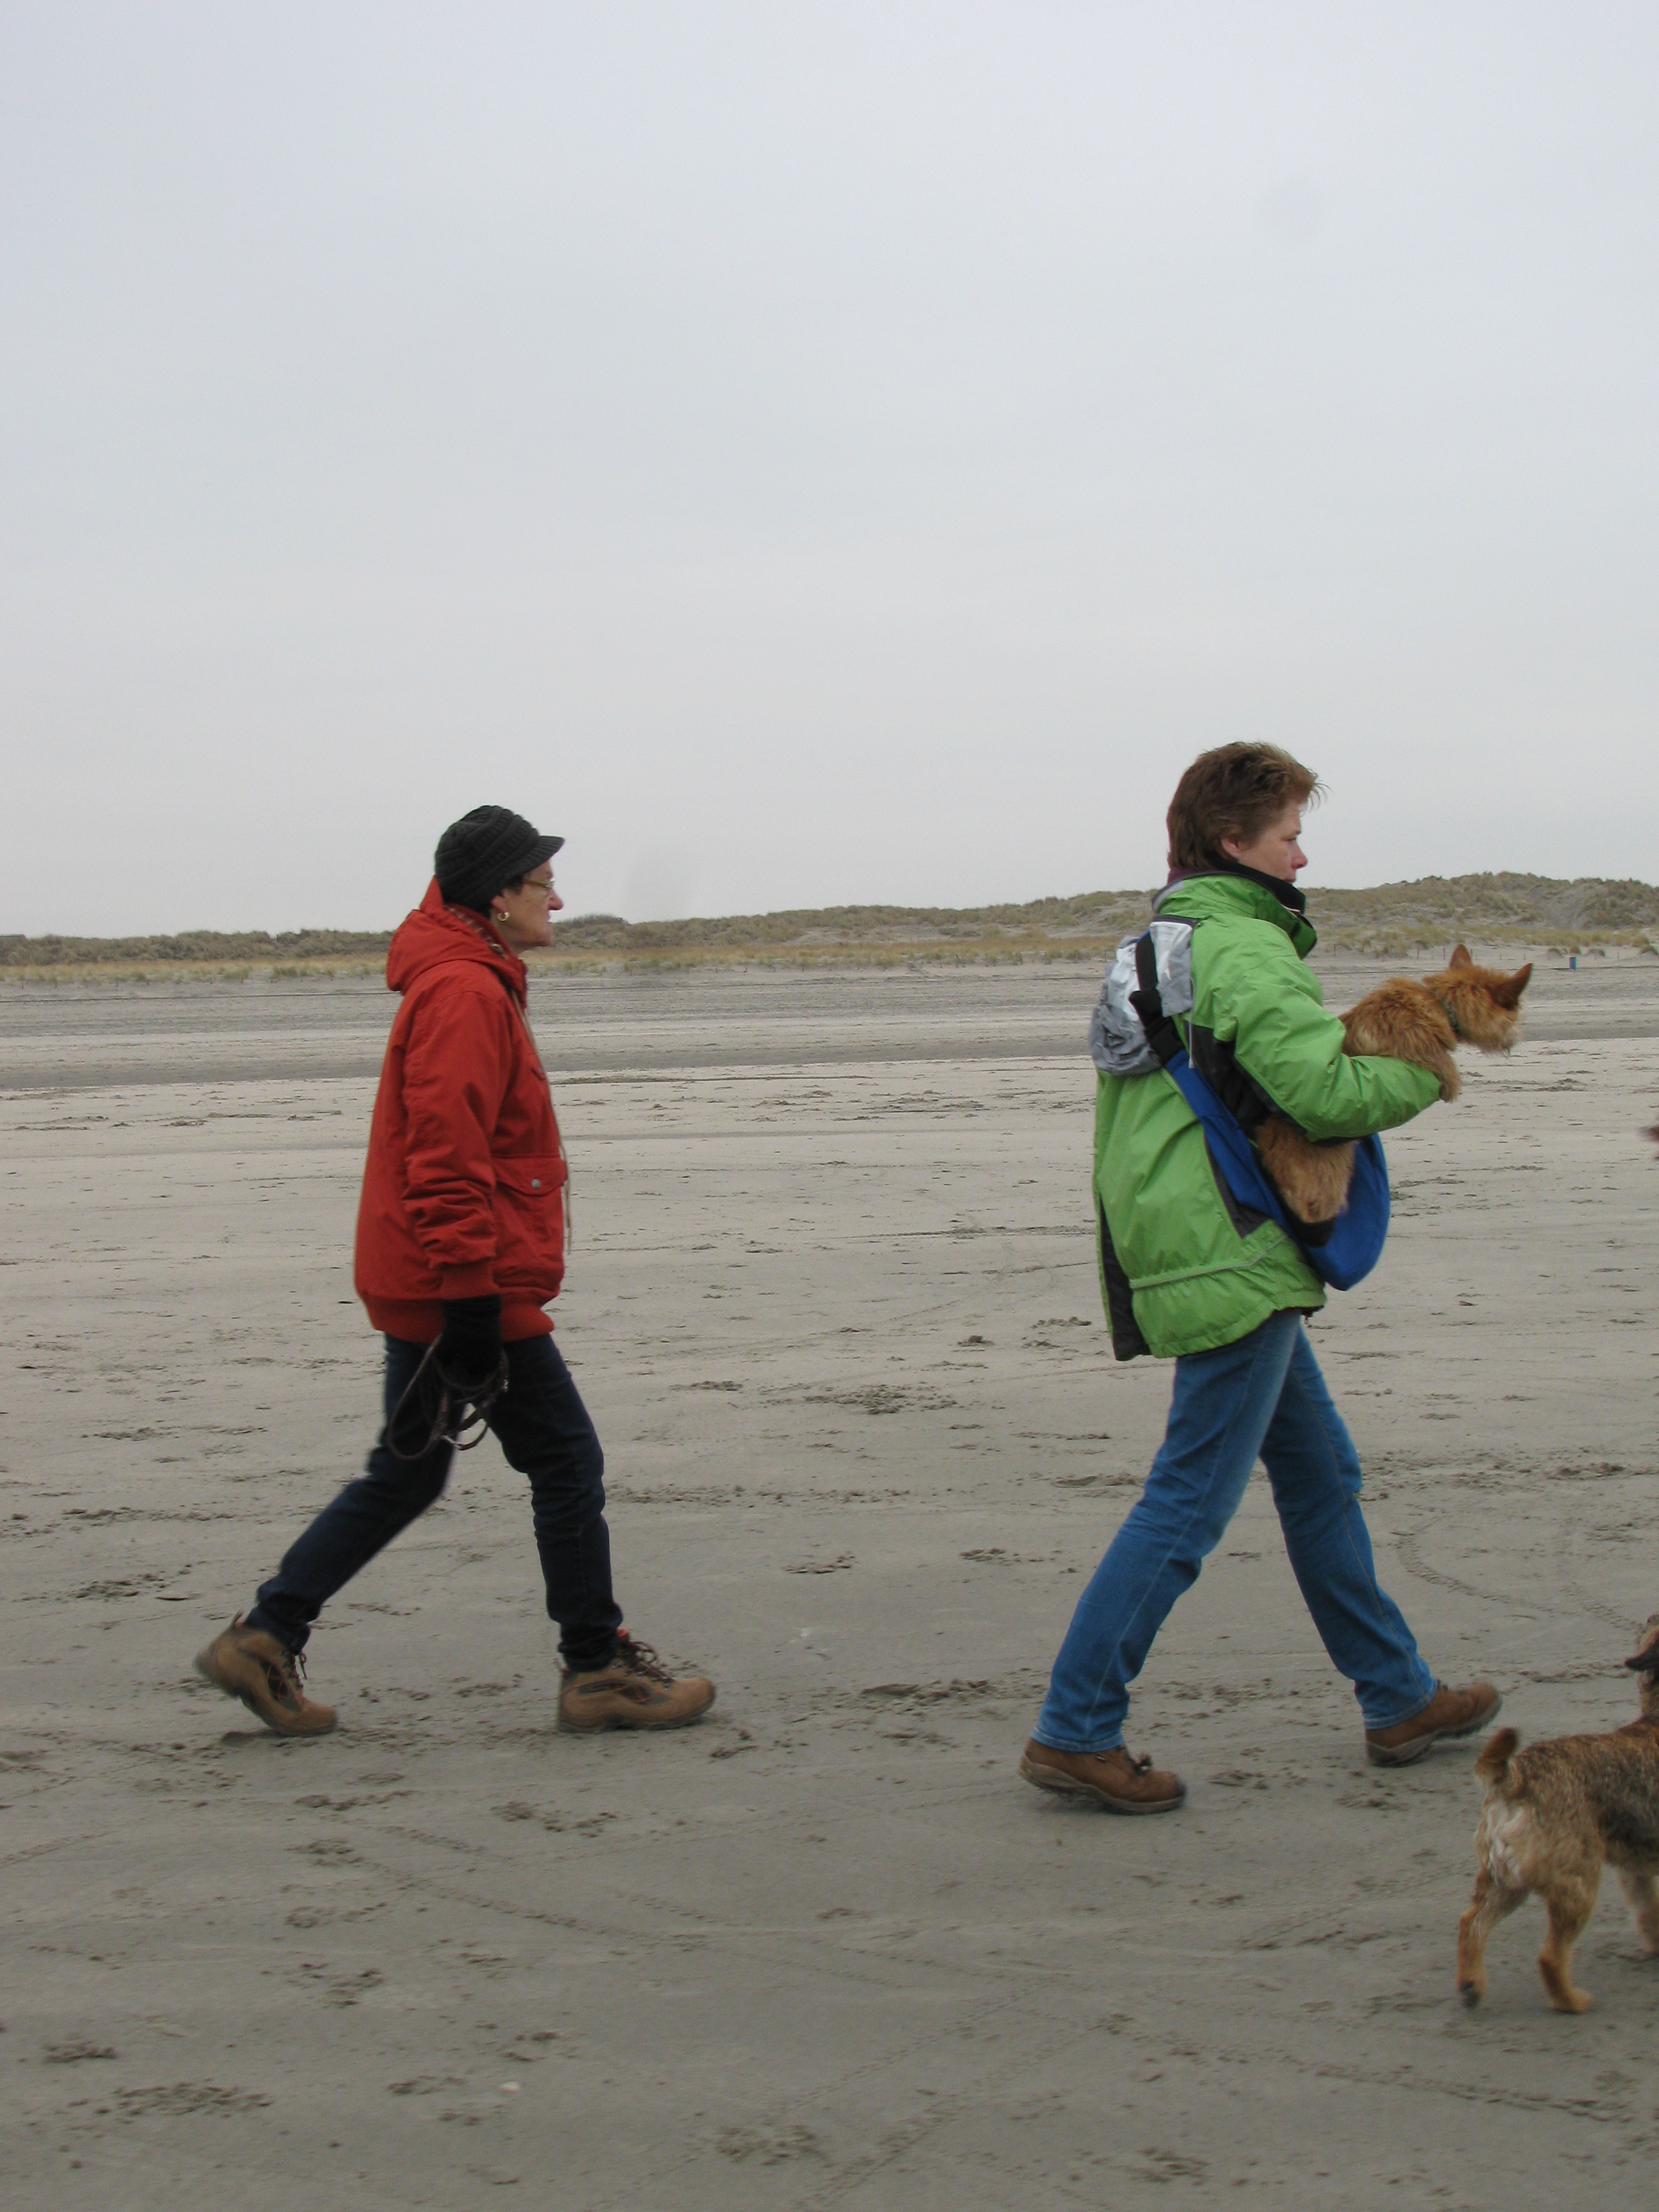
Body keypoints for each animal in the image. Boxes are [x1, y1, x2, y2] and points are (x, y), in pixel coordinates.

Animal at [1455, 1615, 1659, 2013]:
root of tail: (1516, 1778)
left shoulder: (1636, 1868)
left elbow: (1648, 1912)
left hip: (1503, 1882)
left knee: (1472, 1923)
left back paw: (1471, 1985)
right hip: (1579, 1882)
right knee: (1550, 1955)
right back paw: (1572, 2001)